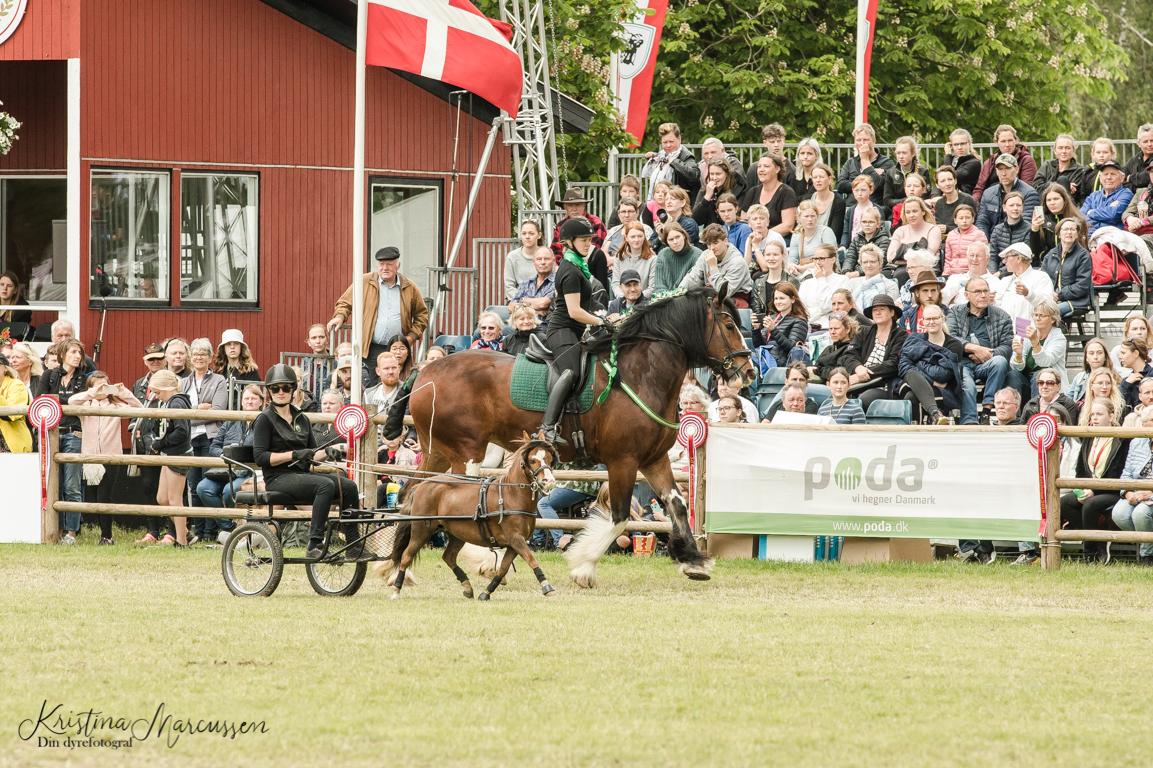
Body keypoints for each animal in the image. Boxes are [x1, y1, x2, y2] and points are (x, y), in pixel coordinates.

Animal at [380, 435, 560, 599]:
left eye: (549, 458)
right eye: (533, 460)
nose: (549, 481)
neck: (511, 494)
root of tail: (420, 486)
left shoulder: (513, 544)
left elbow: (503, 568)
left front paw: (486, 592)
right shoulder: (516, 539)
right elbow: (531, 559)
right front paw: (547, 586)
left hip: (456, 534)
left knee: (448, 557)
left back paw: (467, 587)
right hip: (421, 531)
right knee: (406, 556)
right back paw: (396, 590)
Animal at [408, 282, 756, 585]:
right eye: (728, 324)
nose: (748, 371)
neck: (640, 374)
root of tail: (427, 372)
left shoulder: (654, 459)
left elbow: (677, 505)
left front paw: (693, 561)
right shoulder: (623, 461)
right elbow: (619, 517)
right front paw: (583, 567)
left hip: (438, 451)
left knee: (415, 493)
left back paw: (405, 570)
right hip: (466, 452)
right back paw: (480, 562)